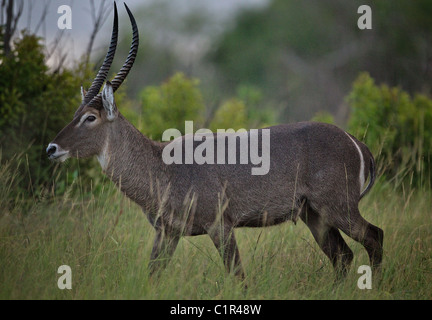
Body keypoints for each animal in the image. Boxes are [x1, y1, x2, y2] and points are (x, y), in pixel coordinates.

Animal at [48, 3, 384, 282]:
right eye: (76, 112)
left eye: (90, 117)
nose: (52, 148)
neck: (160, 165)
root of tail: (355, 141)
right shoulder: (167, 233)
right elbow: (152, 275)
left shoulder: (220, 226)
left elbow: (238, 276)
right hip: (315, 215)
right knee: (343, 256)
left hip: (338, 208)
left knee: (374, 237)